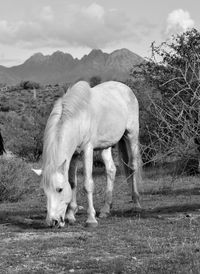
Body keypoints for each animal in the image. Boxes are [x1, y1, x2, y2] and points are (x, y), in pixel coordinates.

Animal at [32, 81, 141, 229]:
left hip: (131, 135)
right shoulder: (73, 155)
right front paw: (70, 216)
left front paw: (91, 219)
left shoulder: (87, 150)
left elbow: (87, 184)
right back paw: (105, 210)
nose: (52, 222)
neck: (77, 118)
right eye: (44, 192)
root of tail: (125, 88)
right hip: (105, 146)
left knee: (132, 167)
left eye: (59, 189)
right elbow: (72, 182)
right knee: (111, 170)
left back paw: (136, 204)